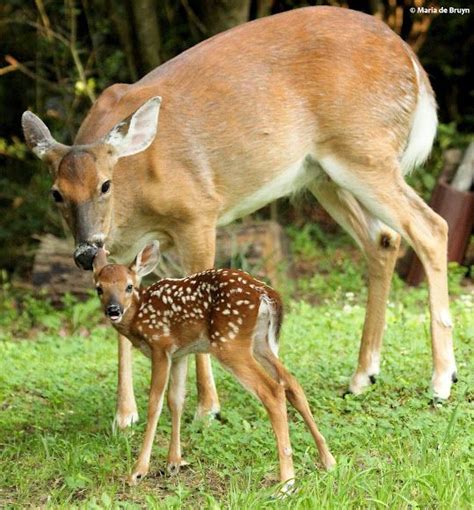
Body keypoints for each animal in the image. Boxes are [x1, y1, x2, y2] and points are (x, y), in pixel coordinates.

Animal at [22, 4, 456, 426]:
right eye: (56, 193)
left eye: (105, 185)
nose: (84, 252)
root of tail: (413, 62)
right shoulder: (129, 251)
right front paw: (124, 415)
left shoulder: (198, 211)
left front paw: (207, 407)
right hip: (324, 173)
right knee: (384, 239)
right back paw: (363, 376)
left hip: (364, 149)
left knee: (431, 227)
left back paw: (441, 381)